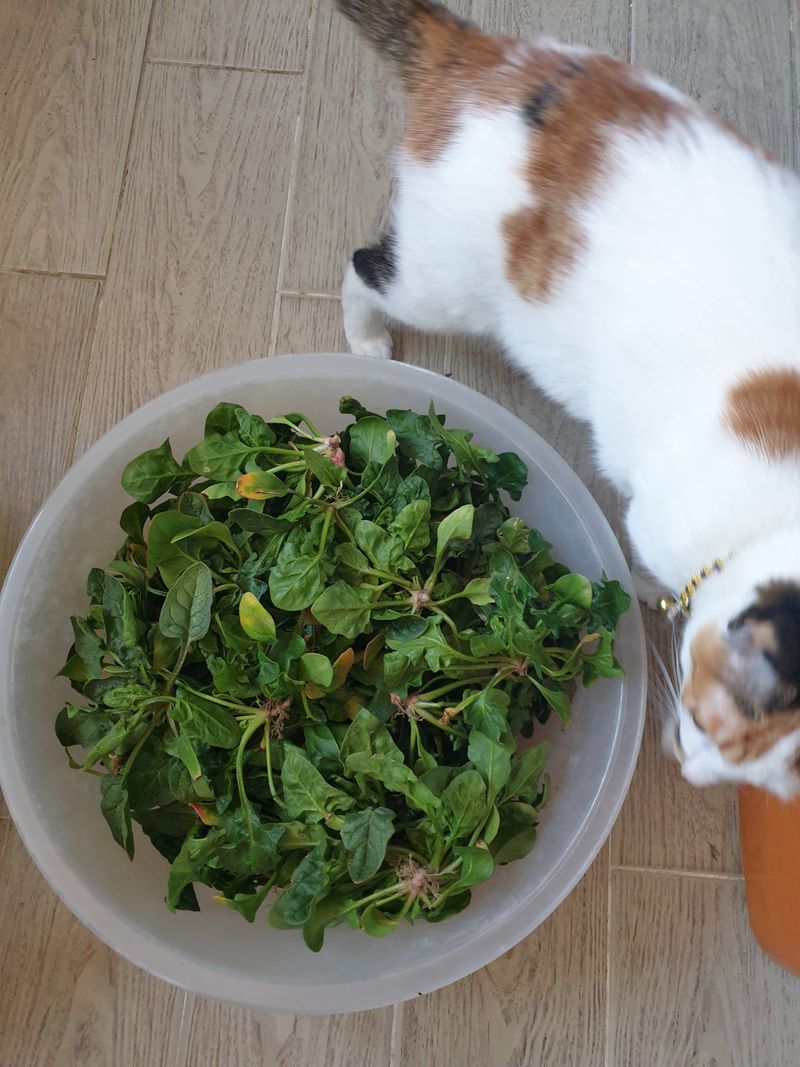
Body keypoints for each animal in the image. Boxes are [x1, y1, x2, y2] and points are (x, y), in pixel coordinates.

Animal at [334, 0, 800, 797]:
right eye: (703, 725)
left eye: (771, 788)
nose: (689, 774)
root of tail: (481, 55)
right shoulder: (657, 514)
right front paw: (645, 587)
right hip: (441, 284)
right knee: (363, 267)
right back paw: (365, 339)